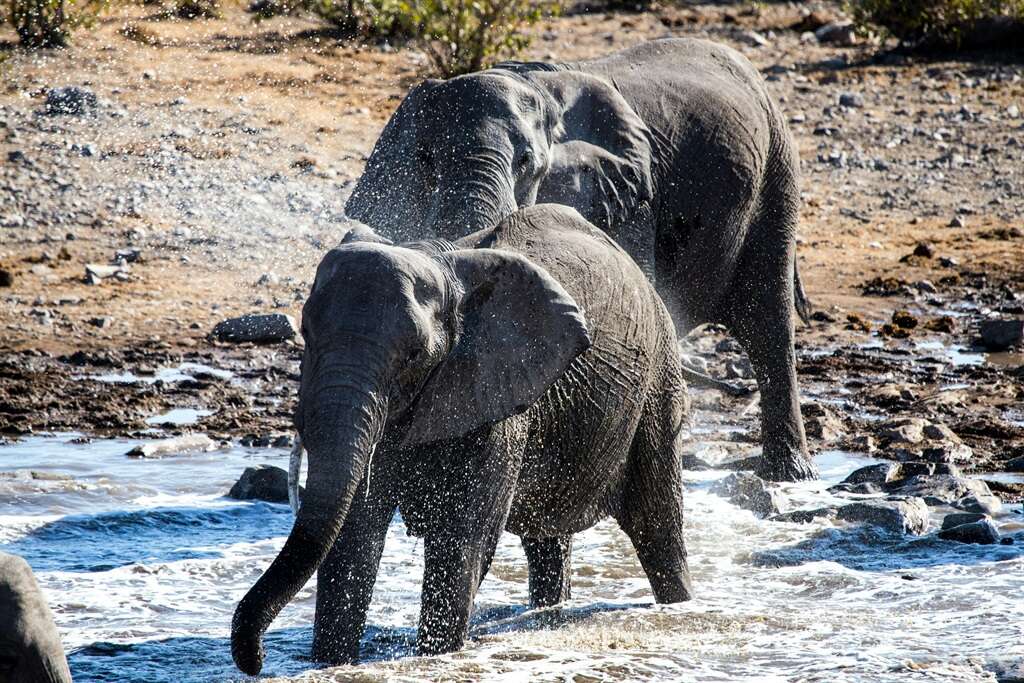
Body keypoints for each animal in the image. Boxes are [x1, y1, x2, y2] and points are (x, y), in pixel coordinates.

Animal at [230, 205, 696, 675]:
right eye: (306, 334)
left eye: (414, 355)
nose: (256, 660)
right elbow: (354, 535)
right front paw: (332, 665)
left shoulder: (496, 391)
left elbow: (462, 538)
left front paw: (435, 659)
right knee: (548, 538)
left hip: (658, 380)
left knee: (657, 524)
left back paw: (681, 608)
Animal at [348, 37, 819, 483]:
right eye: (425, 159)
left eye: (528, 163)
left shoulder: (629, 202)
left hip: (778, 173)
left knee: (769, 322)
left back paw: (790, 474)